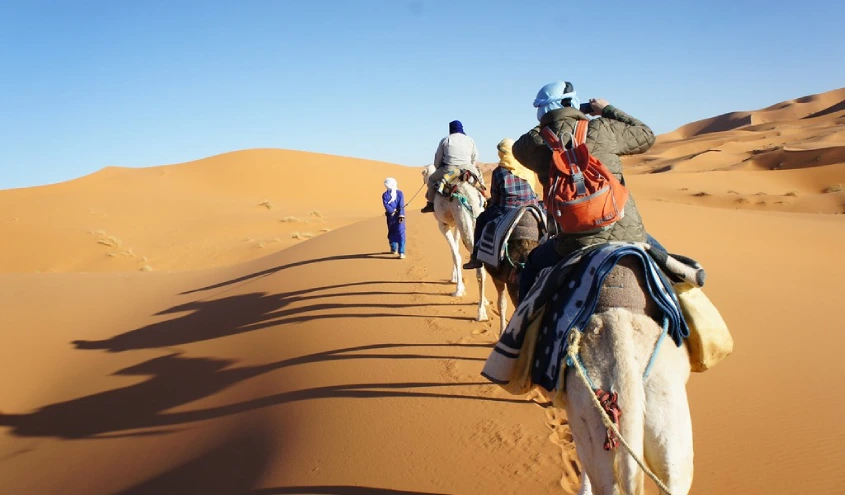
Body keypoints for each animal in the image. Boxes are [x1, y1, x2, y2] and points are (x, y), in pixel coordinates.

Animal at [420, 165, 488, 324]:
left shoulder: (443, 225)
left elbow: (456, 255)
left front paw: (458, 290)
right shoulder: (455, 224)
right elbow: (455, 250)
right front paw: (454, 278)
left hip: (462, 217)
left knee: (478, 265)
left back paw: (481, 313)